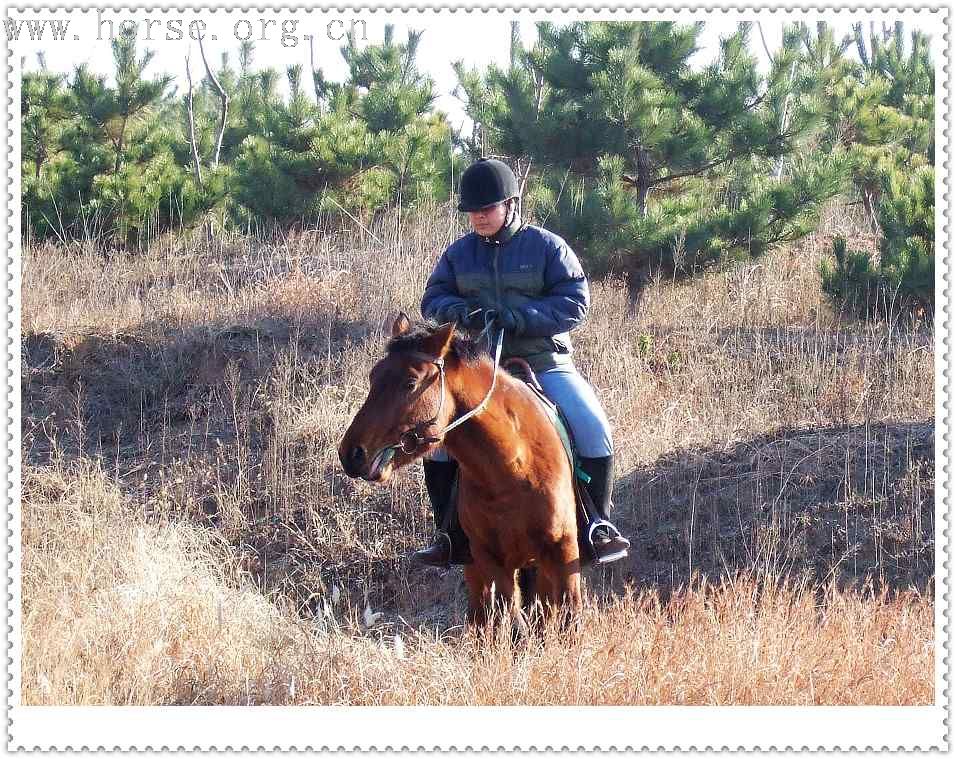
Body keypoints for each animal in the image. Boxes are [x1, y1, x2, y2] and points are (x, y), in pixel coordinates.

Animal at [336, 314, 580, 628]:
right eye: (373, 376)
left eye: (410, 382)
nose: (351, 454)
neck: (512, 469)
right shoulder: (493, 562)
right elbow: (513, 625)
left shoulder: (564, 556)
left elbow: (569, 620)